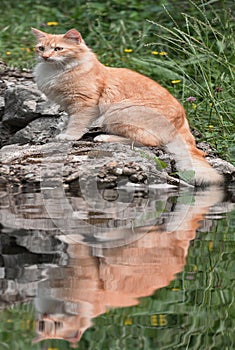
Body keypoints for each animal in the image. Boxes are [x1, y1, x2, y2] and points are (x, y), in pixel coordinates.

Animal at [32, 27, 223, 186]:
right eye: (41, 48)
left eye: (58, 49)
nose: (45, 57)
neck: (54, 71)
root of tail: (181, 119)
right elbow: (68, 120)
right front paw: (60, 130)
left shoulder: (84, 104)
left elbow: (76, 124)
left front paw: (68, 136)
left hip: (118, 112)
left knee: (149, 142)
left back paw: (104, 137)